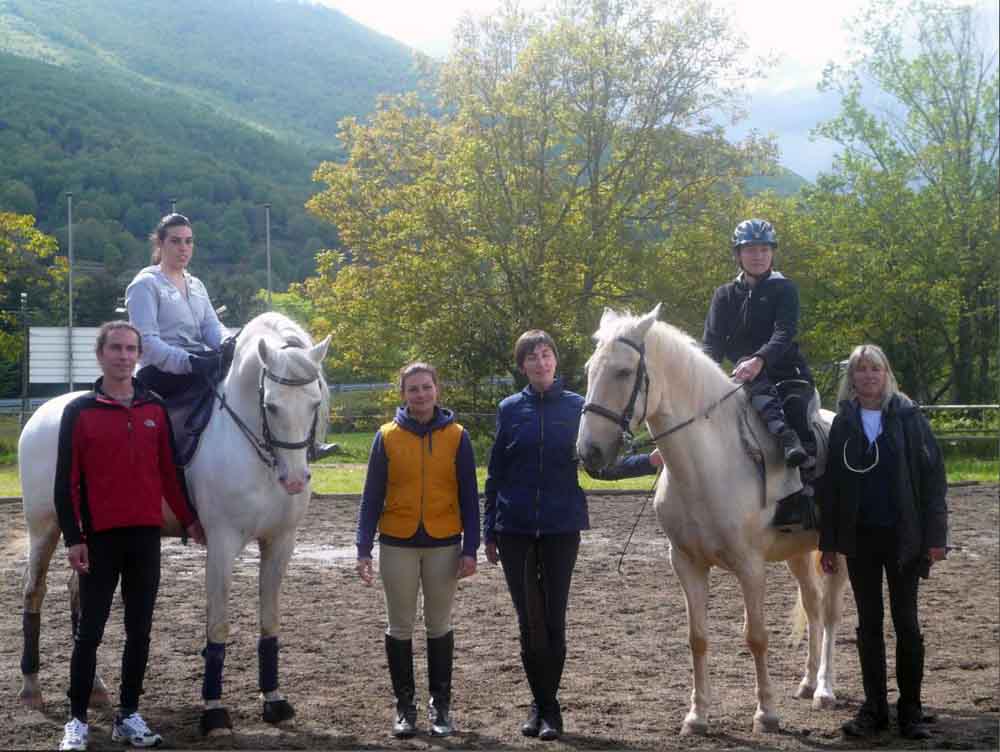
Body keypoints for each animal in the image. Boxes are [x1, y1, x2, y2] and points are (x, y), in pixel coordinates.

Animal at [18, 312, 332, 736]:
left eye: (315, 402)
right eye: (272, 406)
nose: (295, 479)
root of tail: (42, 414)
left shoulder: (281, 542)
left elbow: (270, 622)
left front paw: (274, 701)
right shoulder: (221, 543)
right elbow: (218, 626)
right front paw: (214, 710)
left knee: (79, 597)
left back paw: (95, 687)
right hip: (45, 528)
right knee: (34, 593)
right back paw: (31, 688)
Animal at [576, 306, 848, 736]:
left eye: (623, 371)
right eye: (590, 370)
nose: (589, 451)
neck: (710, 462)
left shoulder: (750, 567)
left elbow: (756, 637)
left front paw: (766, 713)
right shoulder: (686, 564)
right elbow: (697, 638)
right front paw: (697, 715)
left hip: (839, 551)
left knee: (833, 613)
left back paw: (825, 689)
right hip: (798, 553)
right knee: (813, 606)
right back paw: (807, 683)